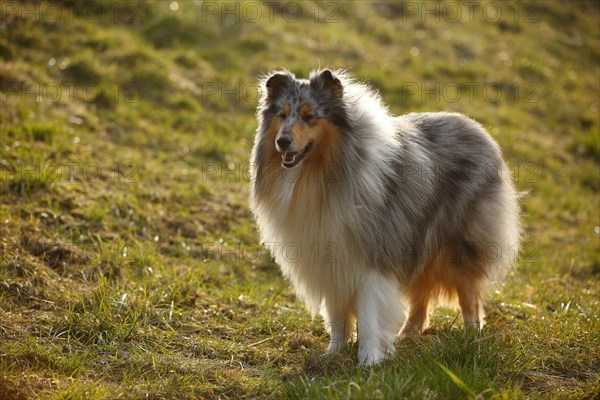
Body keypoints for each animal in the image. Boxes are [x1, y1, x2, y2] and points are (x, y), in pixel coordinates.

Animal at [248, 69, 520, 366]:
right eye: (283, 114)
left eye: (309, 116)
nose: (282, 142)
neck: (321, 175)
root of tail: (477, 128)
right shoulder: (330, 259)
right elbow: (337, 315)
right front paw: (334, 353)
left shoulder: (373, 257)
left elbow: (369, 315)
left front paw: (368, 361)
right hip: (420, 241)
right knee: (422, 292)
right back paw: (408, 333)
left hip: (458, 243)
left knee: (468, 293)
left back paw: (472, 336)